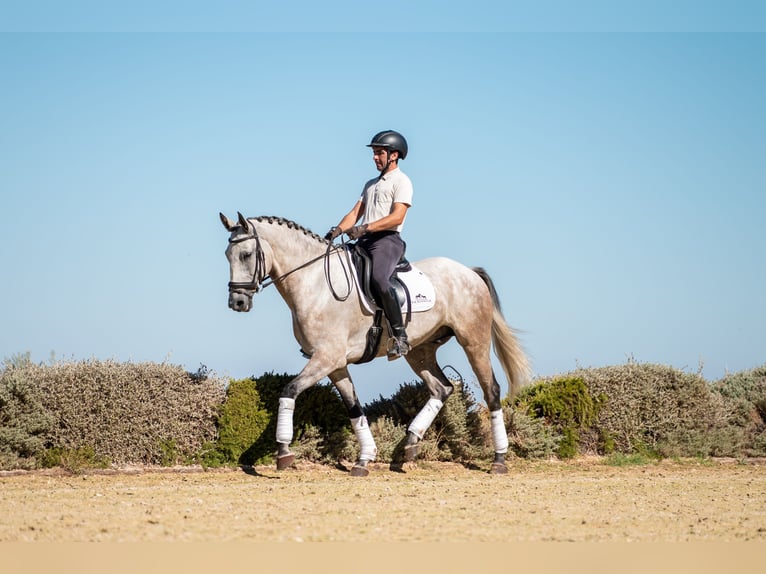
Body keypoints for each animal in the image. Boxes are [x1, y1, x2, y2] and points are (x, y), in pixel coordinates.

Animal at [224, 213, 536, 476]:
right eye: (228, 255)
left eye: (247, 254)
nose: (237, 302)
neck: (315, 284)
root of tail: (468, 272)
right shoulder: (335, 364)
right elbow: (354, 408)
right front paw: (364, 459)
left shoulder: (325, 358)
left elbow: (289, 390)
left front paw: (284, 452)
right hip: (420, 351)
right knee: (441, 388)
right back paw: (409, 445)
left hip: (473, 342)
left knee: (490, 390)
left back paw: (499, 459)